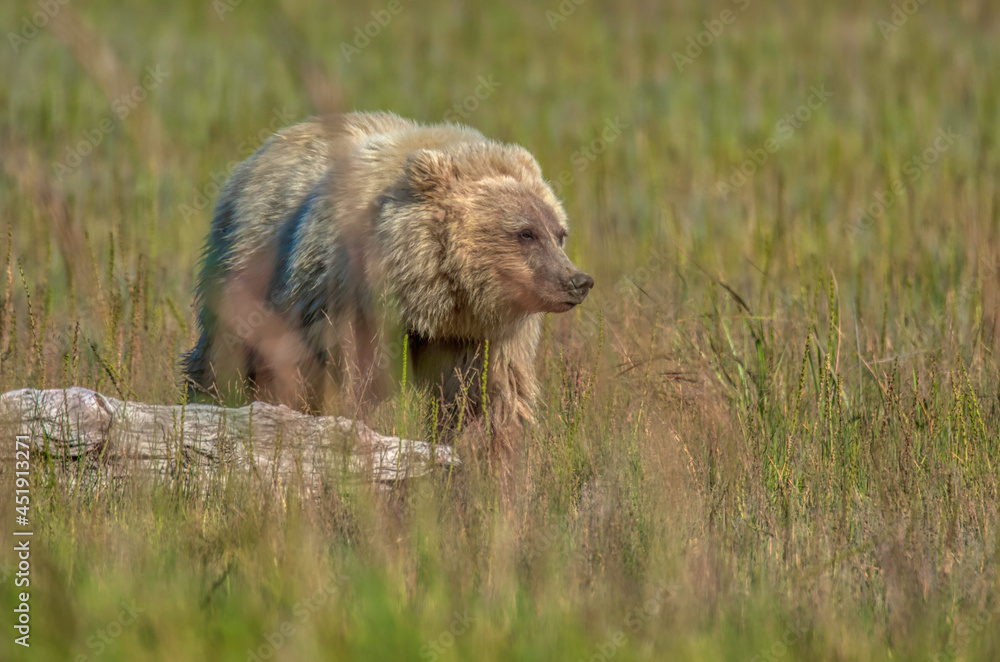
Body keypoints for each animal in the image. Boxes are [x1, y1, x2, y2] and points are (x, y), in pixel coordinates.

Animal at [183, 111, 593, 470]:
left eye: (559, 233)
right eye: (525, 232)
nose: (578, 281)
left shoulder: (487, 336)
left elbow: (487, 401)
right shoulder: (350, 304)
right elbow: (347, 383)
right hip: (248, 266)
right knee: (227, 354)